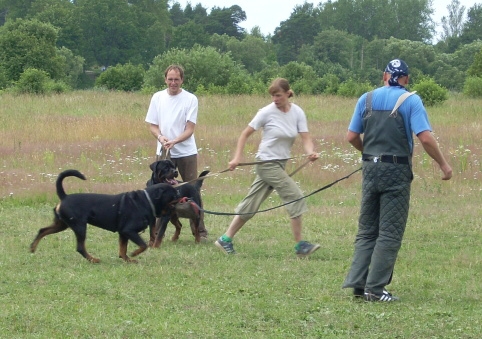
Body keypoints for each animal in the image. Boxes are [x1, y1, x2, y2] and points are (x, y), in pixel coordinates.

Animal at [30, 170, 181, 262]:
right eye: (173, 194)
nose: (181, 193)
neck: (147, 201)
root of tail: (64, 196)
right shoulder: (128, 230)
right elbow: (143, 245)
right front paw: (134, 254)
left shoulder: (123, 233)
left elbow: (122, 249)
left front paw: (127, 259)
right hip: (80, 226)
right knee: (80, 247)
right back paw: (93, 259)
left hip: (61, 224)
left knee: (42, 230)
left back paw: (32, 247)